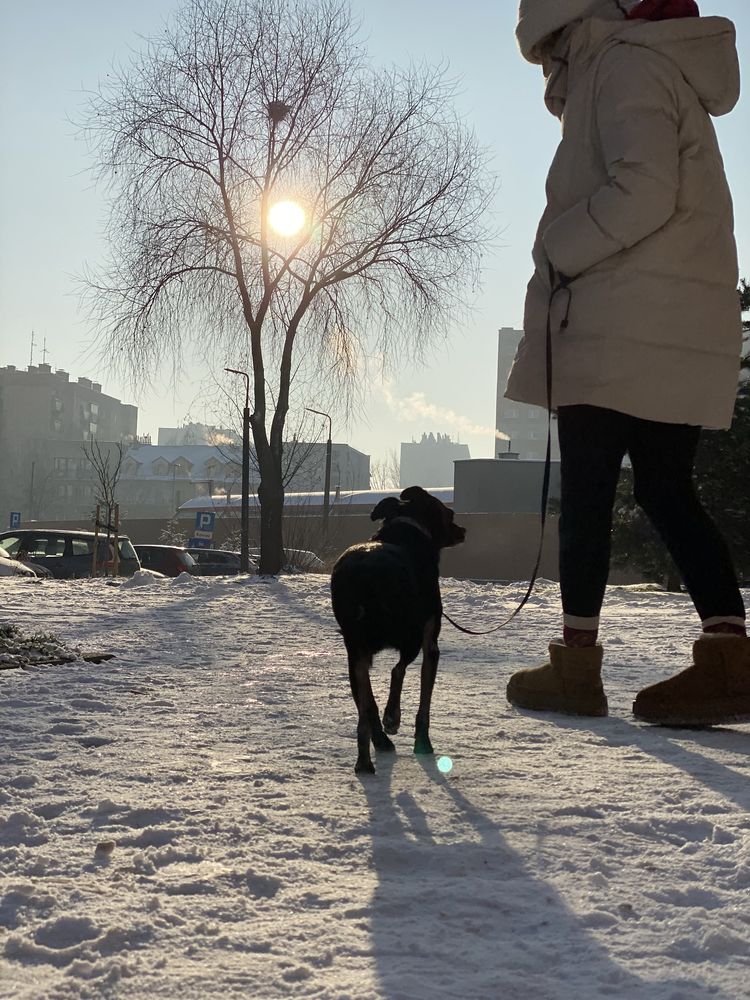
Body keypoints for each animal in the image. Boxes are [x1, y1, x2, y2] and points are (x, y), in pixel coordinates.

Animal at [334, 484, 468, 772]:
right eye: (450, 514)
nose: (462, 530)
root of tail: (363, 577)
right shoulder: (431, 644)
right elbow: (423, 704)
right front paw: (423, 743)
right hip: (410, 634)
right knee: (398, 671)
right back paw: (392, 718)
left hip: (356, 650)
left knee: (365, 706)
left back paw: (368, 756)